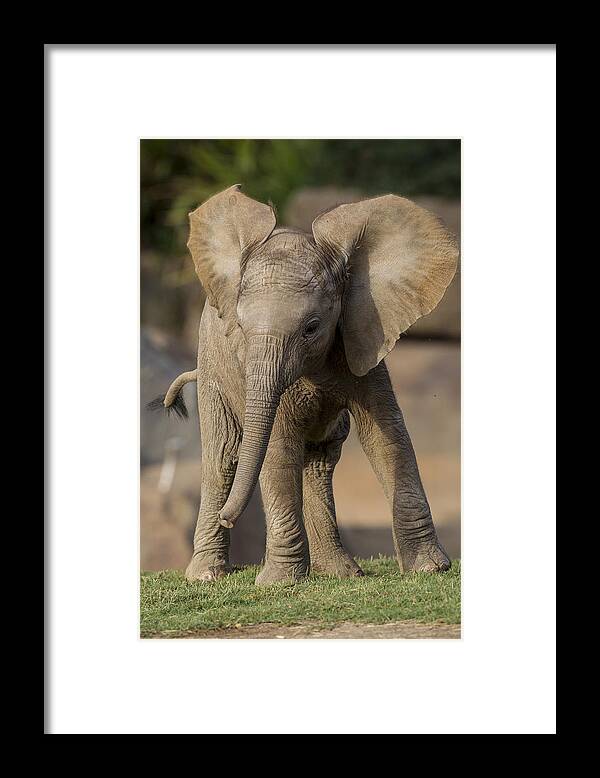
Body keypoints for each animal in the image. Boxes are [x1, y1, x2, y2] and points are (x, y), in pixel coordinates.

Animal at [150, 182, 460, 584]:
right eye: (241, 327)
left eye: (311, 328)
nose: (229, 517)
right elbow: (278, 446)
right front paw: (280, 583)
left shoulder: (362, 338)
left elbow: (387, 437)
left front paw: (430, 569)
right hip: (212, 368)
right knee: (221, 460)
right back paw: (206, 576)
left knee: (319, 462)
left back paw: (341, 573)